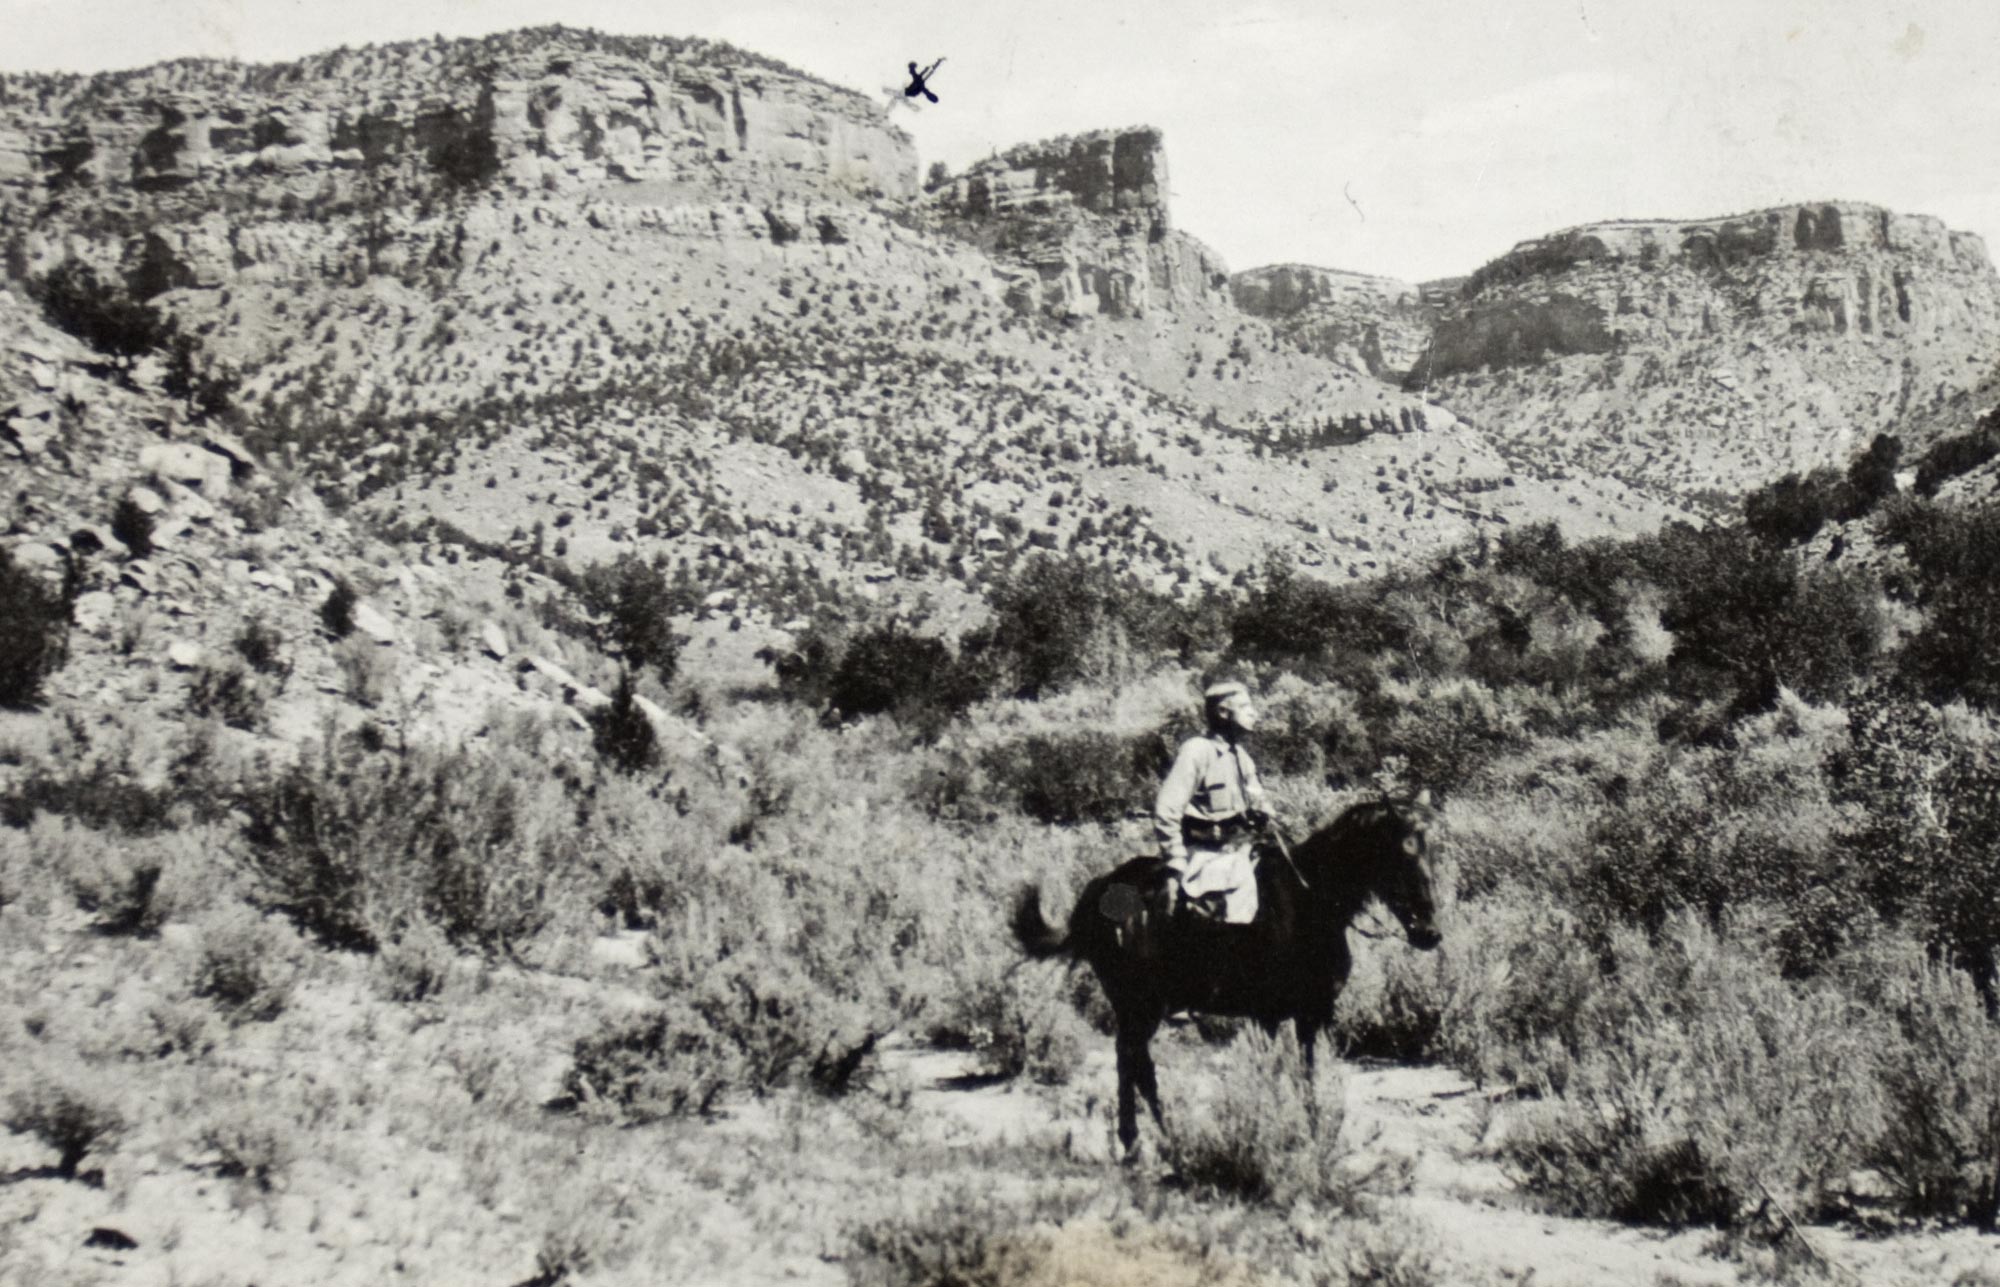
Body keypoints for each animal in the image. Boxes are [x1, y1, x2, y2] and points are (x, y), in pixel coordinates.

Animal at [1016, 787, 1440, 1151]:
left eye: (1431, 851)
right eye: (1402, 852)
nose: (1430, 933)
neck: (1308, 903)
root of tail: (1101, 887)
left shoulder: (1309, 1016)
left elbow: (1306, 1076)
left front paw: (1313, 1132)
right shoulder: (1270, 1016)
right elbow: (1273, 1076)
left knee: (1134, 1062)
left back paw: (1151, 1138)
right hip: (1139, 1006)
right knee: (1133, 1061)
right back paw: (1149, 1139)